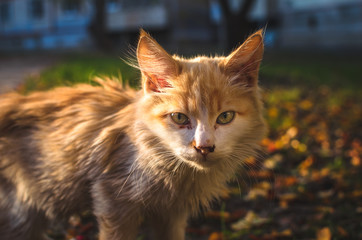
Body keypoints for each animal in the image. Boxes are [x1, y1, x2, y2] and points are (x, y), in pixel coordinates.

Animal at [0, 30, 266, 240]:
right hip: (19, 215)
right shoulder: (112, 203)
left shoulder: (171, 214)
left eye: (225, 117)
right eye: (179, 118)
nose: (204, 147)